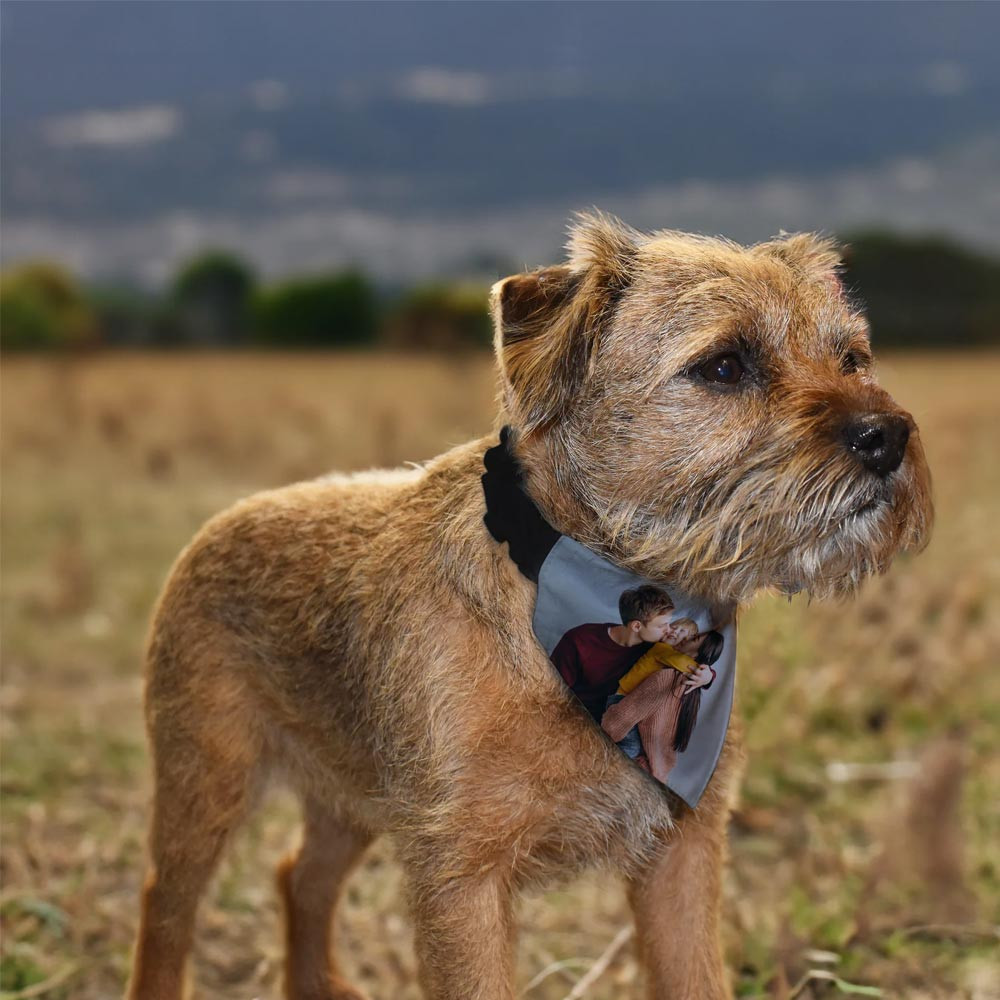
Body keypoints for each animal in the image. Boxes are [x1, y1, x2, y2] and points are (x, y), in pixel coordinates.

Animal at [125, 213, 928, 1000]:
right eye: (726, 365)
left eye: (853, 357)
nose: (887, 435)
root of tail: (220, 523)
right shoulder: (461, 879)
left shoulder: (681, 856)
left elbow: (695, 979)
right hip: (207, 783)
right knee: (165, 902)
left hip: (347, 796)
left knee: (300, 877)